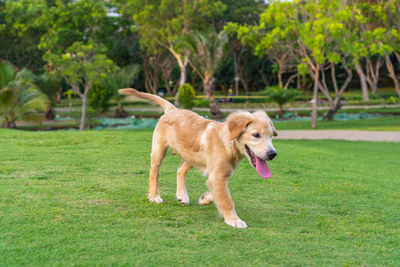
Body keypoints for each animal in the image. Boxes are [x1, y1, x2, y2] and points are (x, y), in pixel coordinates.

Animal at [118, 89, 278, 229]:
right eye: (256, 135)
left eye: (271, 136)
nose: (272, 154)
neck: (228, 142)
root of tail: (172, 109)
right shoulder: (218, 176)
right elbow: (227, 200)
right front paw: (234, 220)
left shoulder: (219, 175)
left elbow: (220, 194)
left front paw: (205, 198)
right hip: (159, 150)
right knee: (154, 172)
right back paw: (154, 196)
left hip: (191, 155)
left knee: (180, 170)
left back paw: (182, 196)